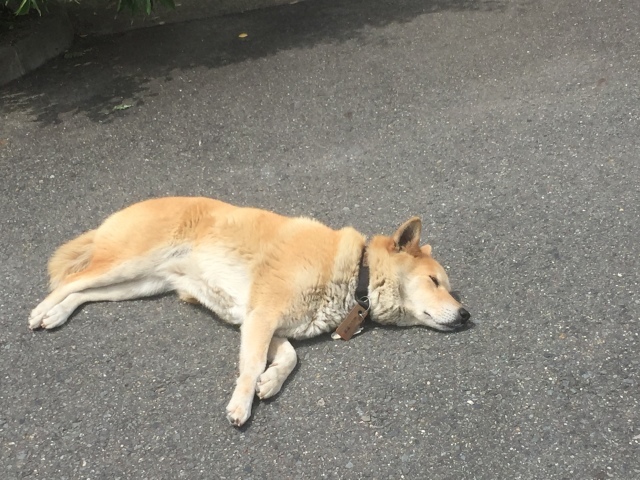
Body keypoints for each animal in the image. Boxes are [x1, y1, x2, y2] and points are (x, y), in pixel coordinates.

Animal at [28, 197, 470, 426]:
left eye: (448, 288)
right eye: (434, 282)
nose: (466, 315)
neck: (353, 274)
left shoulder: (265, 323)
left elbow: (288, 358)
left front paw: (270, 384)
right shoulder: (261, 317)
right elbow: (252, 364)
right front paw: (242, 403)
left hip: (139, 285)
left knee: (84, 293)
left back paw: (57, 315)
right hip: (130, 263)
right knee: (70, 281)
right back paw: (40, 312)